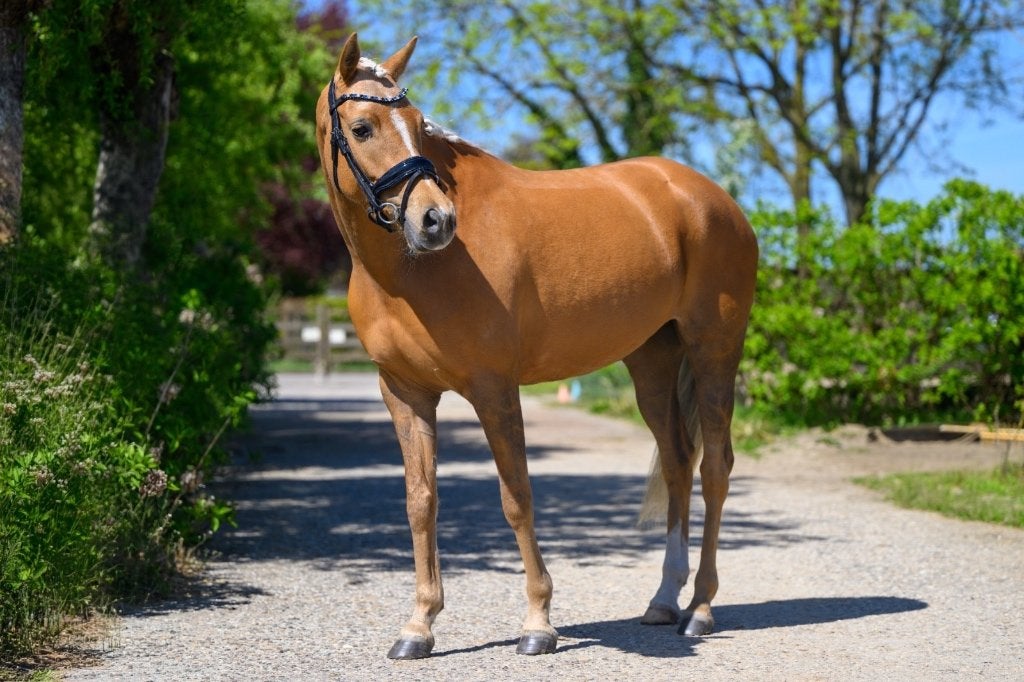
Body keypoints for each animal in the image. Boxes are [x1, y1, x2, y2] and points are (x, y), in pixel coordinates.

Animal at [315, 34, 758, 660]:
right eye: (361, 128)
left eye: (418, 123)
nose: (435, 220)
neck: (408, 271)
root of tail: (713, 199)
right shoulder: (404, 393)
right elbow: (420, 501)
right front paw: (419, 626)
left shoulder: (494, 389)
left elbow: (516, 496)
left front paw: (538, 623)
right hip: (651, 360)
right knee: (677, 462)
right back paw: (663, 600)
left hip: (714, 348)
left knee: (715, 466)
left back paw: (699, 608)